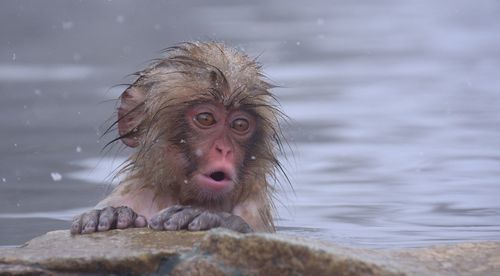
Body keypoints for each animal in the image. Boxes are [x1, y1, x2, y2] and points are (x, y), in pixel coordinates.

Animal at [71, 41, 290, 235]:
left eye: (240, 125)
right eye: (206, 119)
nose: (224, 149)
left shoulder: (254, 211)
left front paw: (216, 219)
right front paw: (111, 215)